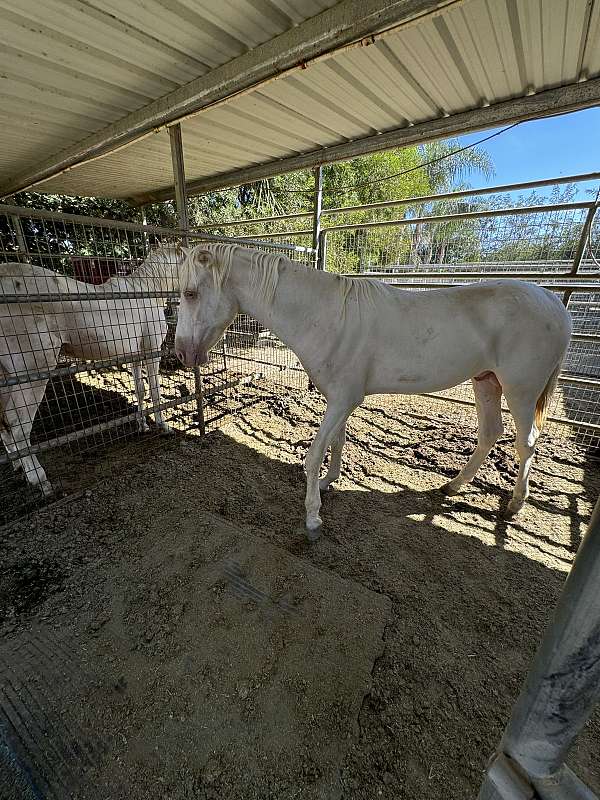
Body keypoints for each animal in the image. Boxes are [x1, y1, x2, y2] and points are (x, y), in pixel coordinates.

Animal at [0, 245, 183, 494]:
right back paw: (41, 481)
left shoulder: (135, 355)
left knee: (4, 424)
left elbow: (139, 389)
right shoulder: (151, 351)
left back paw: (18, 466)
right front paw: (164, 426)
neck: (147, 291)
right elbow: (154, 390)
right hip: (32, 372)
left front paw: (143, 425)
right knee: (17, 425)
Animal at [173, 241, 572, 536]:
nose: (180, 354)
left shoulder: (343, 399)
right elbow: (337, 442)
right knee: (491, 433)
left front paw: (313, 517)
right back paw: (452, 487)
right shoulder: (340, 399)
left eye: (190, 294)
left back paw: (514, 505)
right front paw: (328, 483)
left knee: (526, 442)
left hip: (520, 391)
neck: (327, 316)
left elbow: (313, 454)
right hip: (486, 381)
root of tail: (555, 303)